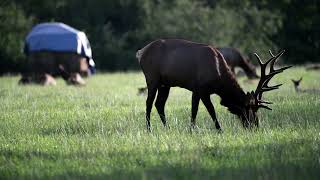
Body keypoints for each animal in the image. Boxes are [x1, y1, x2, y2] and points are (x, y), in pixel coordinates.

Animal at [136, 39, 292, 131]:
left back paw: (167, 128)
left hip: (165, 84)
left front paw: (192, 130)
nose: (256, 126)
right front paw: (219, 130)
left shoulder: (196, 90)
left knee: (159, 104)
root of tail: (140, 52)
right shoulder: (202, 89)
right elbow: (209, 111)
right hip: (152, 78)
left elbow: (194, 110)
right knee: (149, 103)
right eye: (250, 108)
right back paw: (149, 129)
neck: (219, 79)